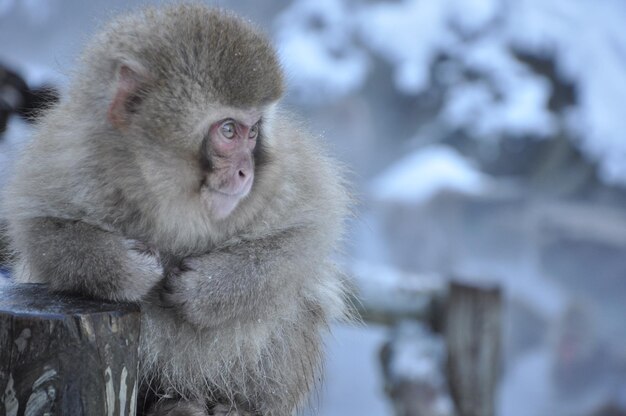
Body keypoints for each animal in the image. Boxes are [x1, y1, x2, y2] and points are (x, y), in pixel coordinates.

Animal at [1, 5, 352, 416]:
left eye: (253, 133)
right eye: (228, 130)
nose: (246, 172)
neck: (169, 193)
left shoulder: (283, 174)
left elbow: (309, 232)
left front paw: (204, 290)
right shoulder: (69, 153)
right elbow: (39, 229)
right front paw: (129, 270)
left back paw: (232, 404)